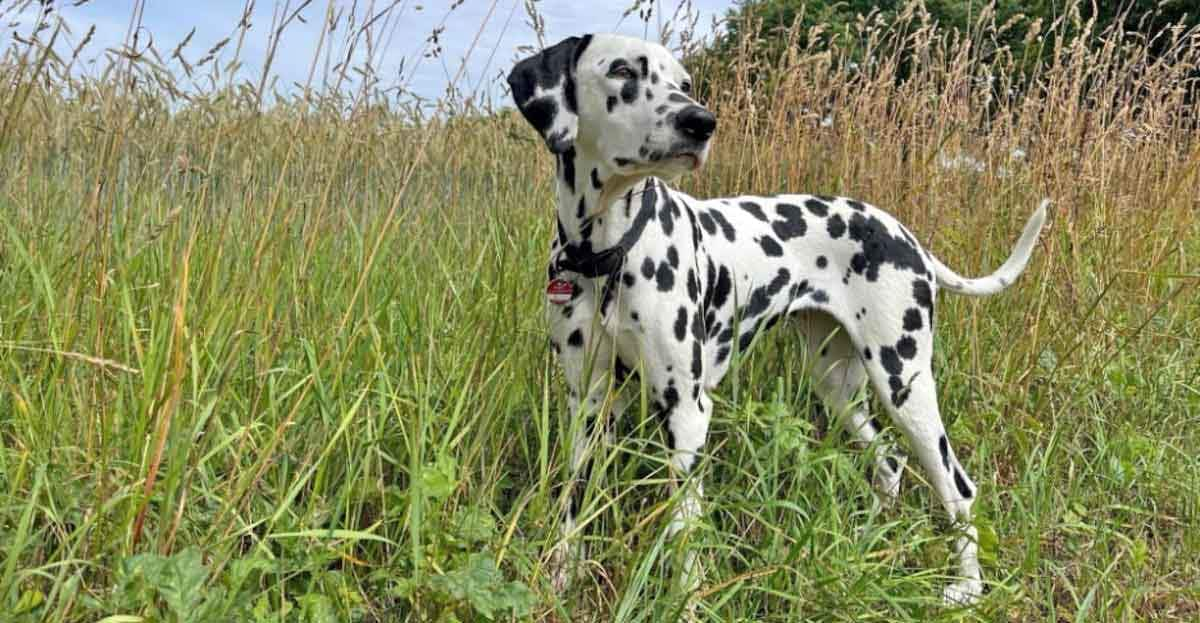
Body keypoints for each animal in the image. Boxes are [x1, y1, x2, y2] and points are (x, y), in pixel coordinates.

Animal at [508, 32, 1051, 604]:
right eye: (620, 70)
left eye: (684, 83)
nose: (702, 122)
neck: (606, 250)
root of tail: (905, 235)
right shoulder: (587, 404)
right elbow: (574, 503)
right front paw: (559, 578)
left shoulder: (685, 410)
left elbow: (684, 528)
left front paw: (686, 599)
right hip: (836, 384)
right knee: (889, 461)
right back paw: (870, 537)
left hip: (903, 383)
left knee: (958, 487)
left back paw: (965, 587)